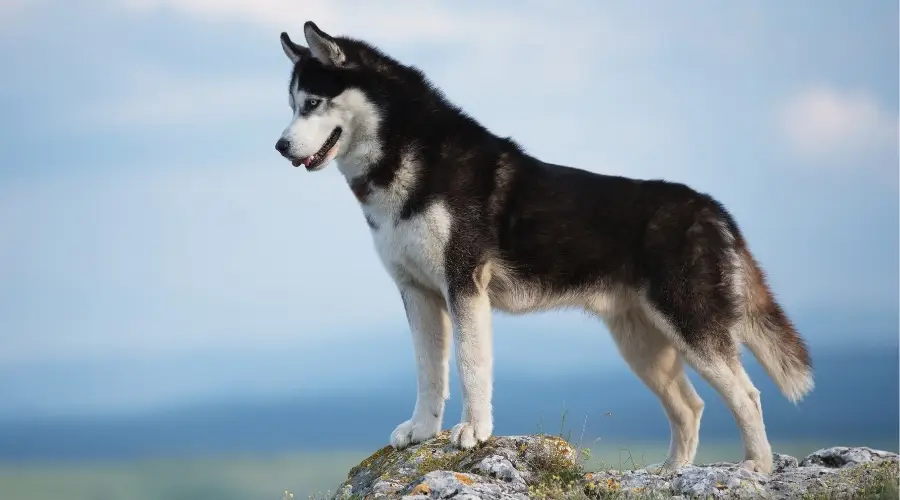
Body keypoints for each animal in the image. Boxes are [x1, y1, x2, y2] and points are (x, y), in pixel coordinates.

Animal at [272, 22, 808, 476]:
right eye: (292, 105)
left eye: (313, 102)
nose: (280, 146)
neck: (404, 161)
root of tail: (714, 208)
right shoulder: (417, 292)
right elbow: (429, 373)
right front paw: (423, 430)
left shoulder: (463, 285)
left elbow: (469, 365)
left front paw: (474, 431)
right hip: (642, 343)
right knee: (690, 406)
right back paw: (672, 472)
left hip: (691, 324)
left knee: (748, 395)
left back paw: (756, 468)